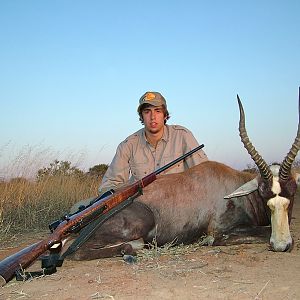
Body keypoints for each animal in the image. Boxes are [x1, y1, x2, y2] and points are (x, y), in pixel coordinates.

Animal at [66, 91, 300, 260]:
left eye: (292, 193)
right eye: (263, 194)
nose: (281, 245)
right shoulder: (220, 231)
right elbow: (260, 231)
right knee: (75, 252)